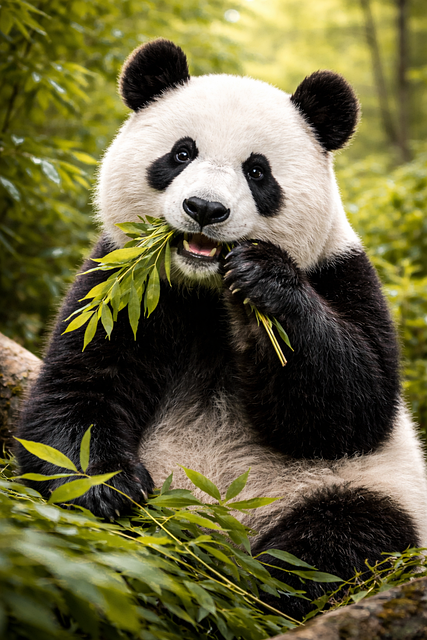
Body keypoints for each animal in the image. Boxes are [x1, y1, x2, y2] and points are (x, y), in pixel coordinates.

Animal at [17, 38, 427, 619]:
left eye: (257, 172)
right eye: (181, 154)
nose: (205, 209)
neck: (206, 293)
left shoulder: (342, 273)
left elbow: (353, 406)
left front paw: (262, 279)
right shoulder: (119, 287)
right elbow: (78, 389)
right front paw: (107, 491)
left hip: (360, 489)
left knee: (348, 537)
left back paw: (259, 584)